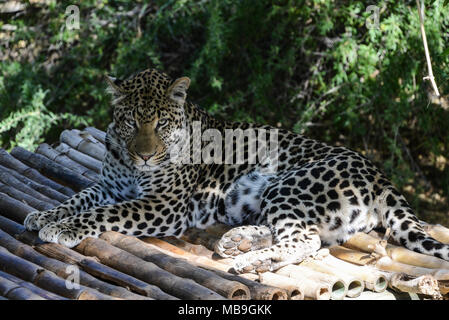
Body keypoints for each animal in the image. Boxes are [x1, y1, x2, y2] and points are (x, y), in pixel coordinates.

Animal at [23, 67, 448, 272]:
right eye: (130, 121)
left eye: (161, 123)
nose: (143, 156)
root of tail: (380, 175)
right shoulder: (109, 186)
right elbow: (79, 198)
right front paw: (45, 215)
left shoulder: (164, 204)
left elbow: (105, 213)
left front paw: (64, 228)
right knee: (307, 235)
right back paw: (240, 240)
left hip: (290, 185)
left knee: (306, 241)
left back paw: (249, 260)